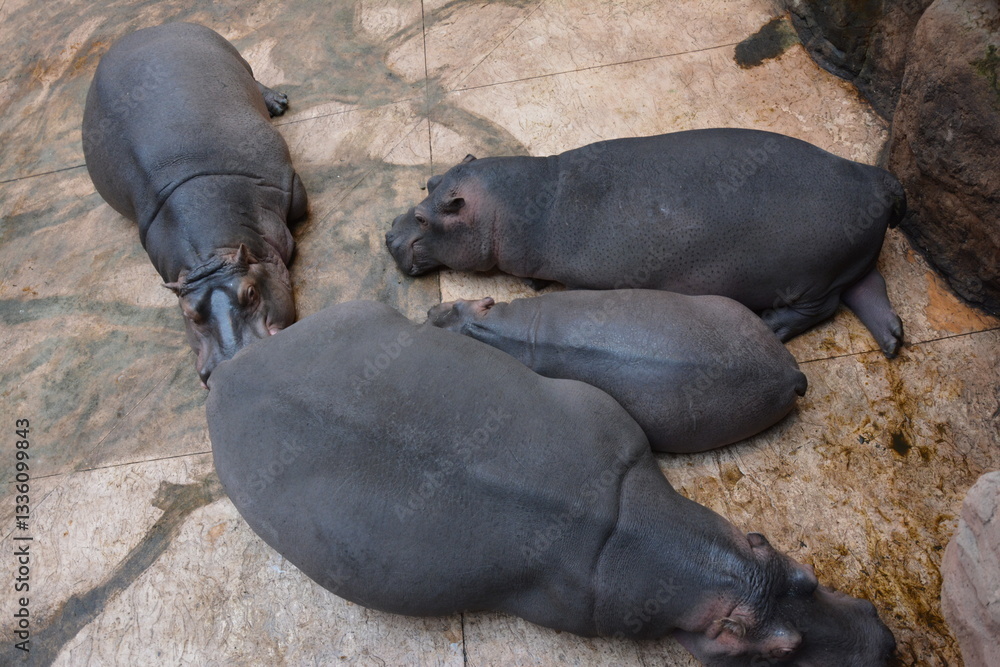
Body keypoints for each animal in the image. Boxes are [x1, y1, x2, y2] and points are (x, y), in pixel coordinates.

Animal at [82, 22, 307, 384]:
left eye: (251, 293)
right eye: (189, 314)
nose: (234, 361)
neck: (213, 255)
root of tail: (143, 30)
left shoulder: (289, 184)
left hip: (235, 57)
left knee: (253, 74)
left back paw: (277, 102)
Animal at [385, 129, 905, 357]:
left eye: (422, 217)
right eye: (427, 180)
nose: (389, 235)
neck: (521, 200)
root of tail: (877, 179)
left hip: (812, 277)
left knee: (824, 308)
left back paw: (773, 326)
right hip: (852, 261)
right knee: (870, 286)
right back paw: (892, 338)